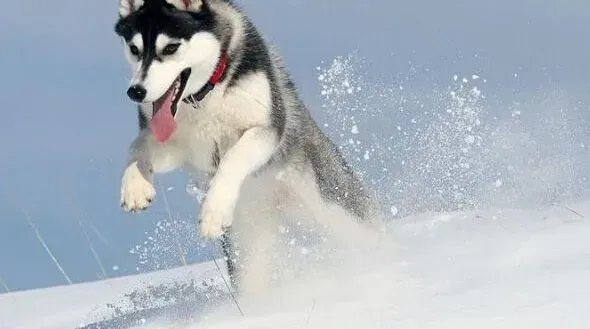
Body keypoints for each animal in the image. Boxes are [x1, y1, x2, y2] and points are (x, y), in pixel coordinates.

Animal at [115, 0, 384, 292]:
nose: (136, 92)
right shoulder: (179, 146)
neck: (206, 97)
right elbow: (137, 147)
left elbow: (233, 157)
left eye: (171, 48)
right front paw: (135, 188)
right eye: (134, 49)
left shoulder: (266, 129)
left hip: (335, 206)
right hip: (249, 250)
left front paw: (213, 212)